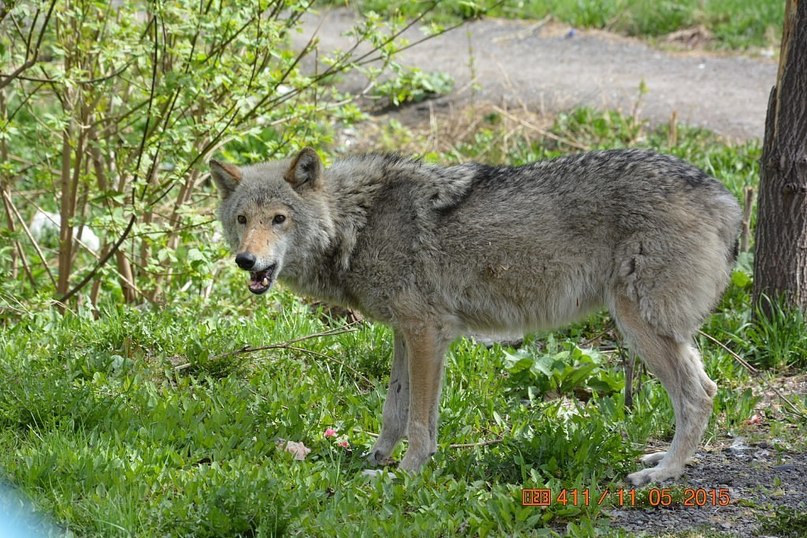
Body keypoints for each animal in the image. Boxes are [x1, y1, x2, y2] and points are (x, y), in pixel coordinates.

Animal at [211, 147, 740, 486]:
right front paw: (376, 460)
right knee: (703, 390)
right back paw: (666, 458)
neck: (357, 223)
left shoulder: (428, 333)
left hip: (639, 325)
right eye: (242, 220)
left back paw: (664, 472)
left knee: (699, 394)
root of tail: (726, 197)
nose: (246, 261)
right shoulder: (406, 333)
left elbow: (420, 422)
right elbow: (393, 410)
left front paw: (406, 475)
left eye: (279, 219)